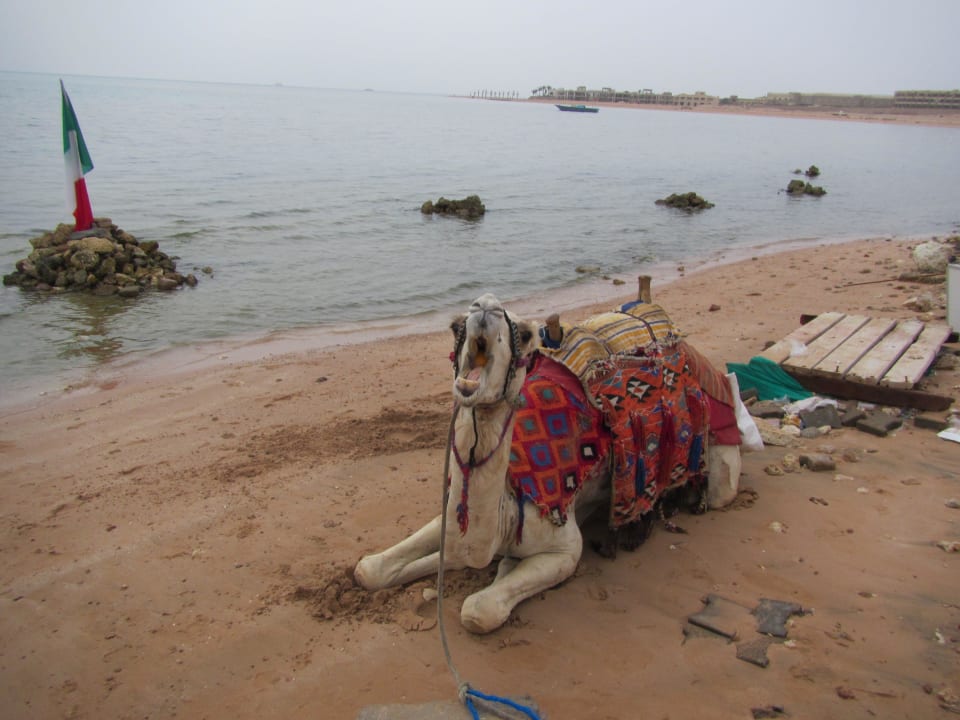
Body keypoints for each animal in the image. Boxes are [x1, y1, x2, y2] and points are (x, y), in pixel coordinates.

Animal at [354, 293, 745, 634]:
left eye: (525, 334)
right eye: (455, 325)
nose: (485, 306)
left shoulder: (565, 548)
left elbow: (479, 610)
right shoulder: (451, 516)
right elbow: (369, 570)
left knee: (721, 487)